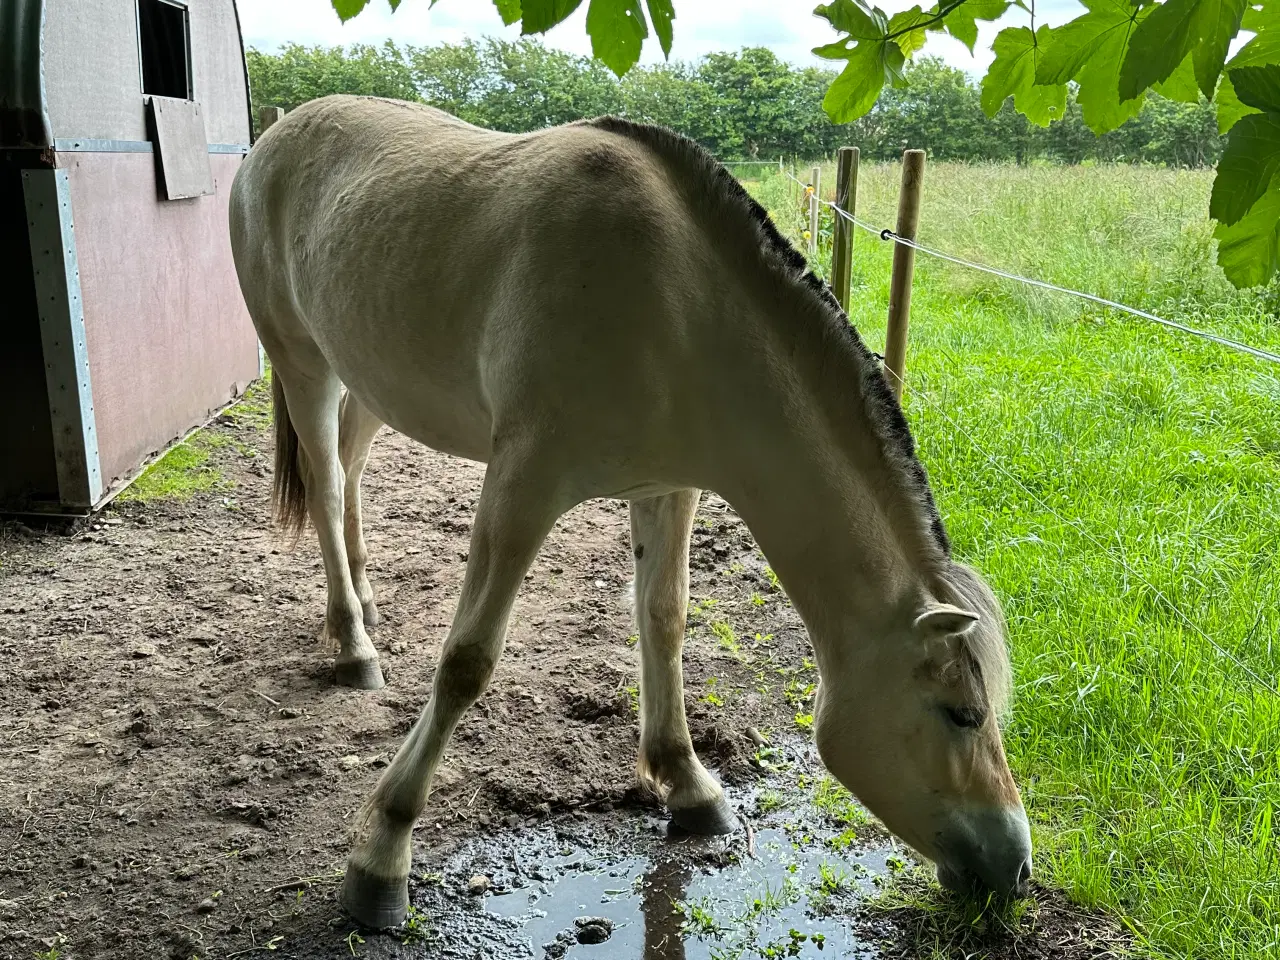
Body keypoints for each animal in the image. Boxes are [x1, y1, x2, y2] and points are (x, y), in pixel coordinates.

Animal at [227, 96, 1029, 931]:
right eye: (963, 714)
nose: (1015, 866)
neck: (675, 304)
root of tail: (277, 135)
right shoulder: (523, 483)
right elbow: (467, 662)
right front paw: (382, 854)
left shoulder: (667, 488)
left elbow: (663, 618)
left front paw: (688, 784)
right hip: (303, 364)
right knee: (324, 485)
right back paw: (352, 643)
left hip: (373, 381)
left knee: (350, 470)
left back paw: (367, 601)